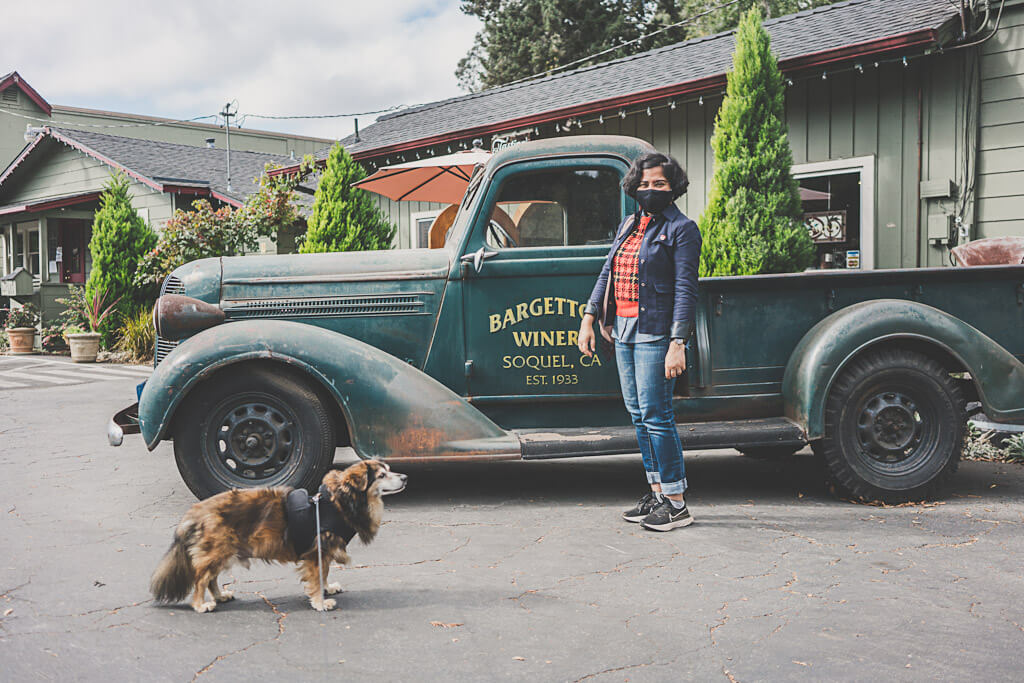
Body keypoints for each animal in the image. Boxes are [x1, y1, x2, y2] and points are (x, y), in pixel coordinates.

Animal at [149, 458, 405, 614]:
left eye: (389, 470)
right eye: (382, 475)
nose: (405, 478)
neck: (341, 501)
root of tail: (195, 512)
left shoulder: (324, 553)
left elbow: (324, 574)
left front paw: (327, 588)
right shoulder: (316, 552)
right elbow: (316, 577)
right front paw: (320, 602)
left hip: (223, 551)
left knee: (210, 578)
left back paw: (220, 596)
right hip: (216, 550)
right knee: (201, 578)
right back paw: (200, 605)